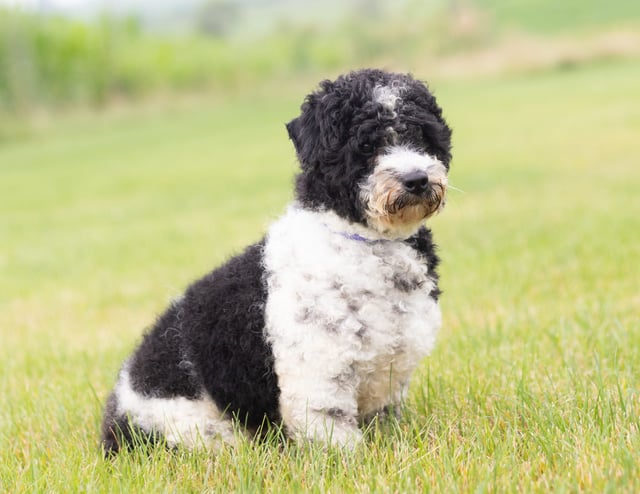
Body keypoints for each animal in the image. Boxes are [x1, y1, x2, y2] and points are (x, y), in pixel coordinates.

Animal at [101, 69, 450, 456]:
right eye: (365, 145)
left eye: (422, 135)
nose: (416, 179)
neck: (364, 243)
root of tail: (117, 421)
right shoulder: (319, 371)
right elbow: (332, 431)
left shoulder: (389, 374)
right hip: (200, 430)